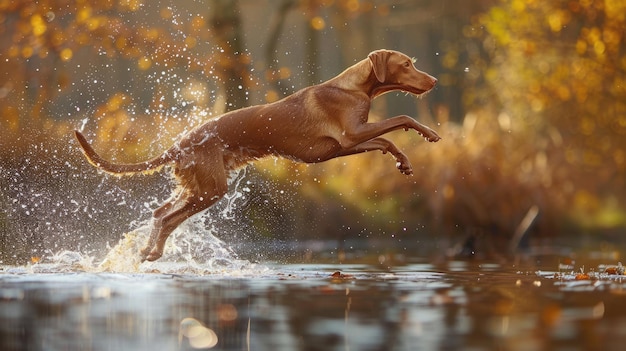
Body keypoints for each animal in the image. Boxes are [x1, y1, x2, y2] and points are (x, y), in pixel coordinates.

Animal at [75, 50, 438, 264]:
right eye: (407, 64)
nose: (434, 80)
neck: (356, 87)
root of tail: (179, 143)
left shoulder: (344, 145)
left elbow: (386, 141)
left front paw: (404, 161)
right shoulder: (351, 134)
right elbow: (400, 120)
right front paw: (429, 133)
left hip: (197, 185)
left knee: (159, 212)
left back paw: (145, 250)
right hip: (210, 190)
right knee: (167, 219)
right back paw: (155, 253)